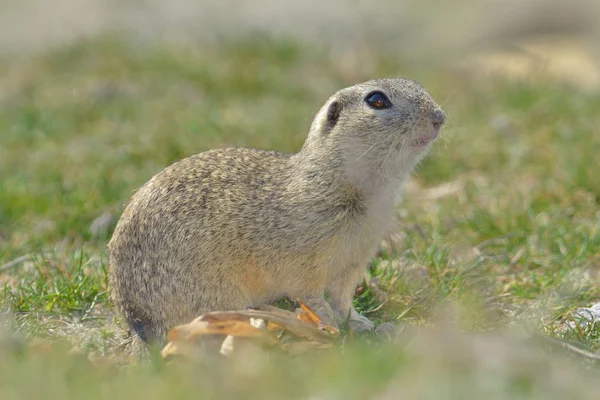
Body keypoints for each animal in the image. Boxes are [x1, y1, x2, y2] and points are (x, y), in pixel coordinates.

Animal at [108, 78, 446, 344]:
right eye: (377, 100)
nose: (440, 117)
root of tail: (137, 322)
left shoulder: (353, 261)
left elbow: (343, 297)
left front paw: (362, 322)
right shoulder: (305, 260)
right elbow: (311, 295)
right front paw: (328, 321)